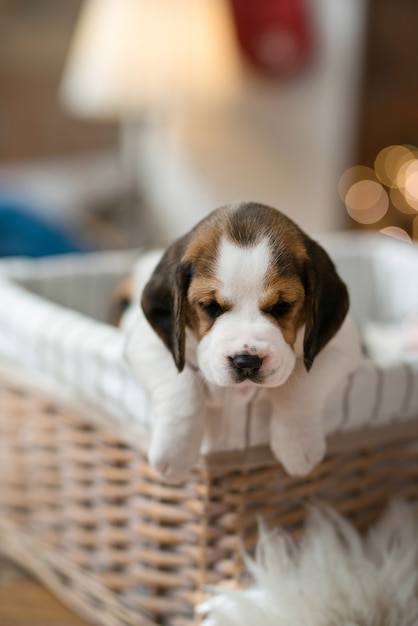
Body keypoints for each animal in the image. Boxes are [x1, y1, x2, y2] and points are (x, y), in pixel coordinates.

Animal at [125, 202, 362, 480]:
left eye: (282, 306)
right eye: (210, 306)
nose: (246, 362)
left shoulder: (342, 342)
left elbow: (302, 387)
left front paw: (297, 444)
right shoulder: (148, 342)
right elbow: (180, 390)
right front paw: (175, 451)